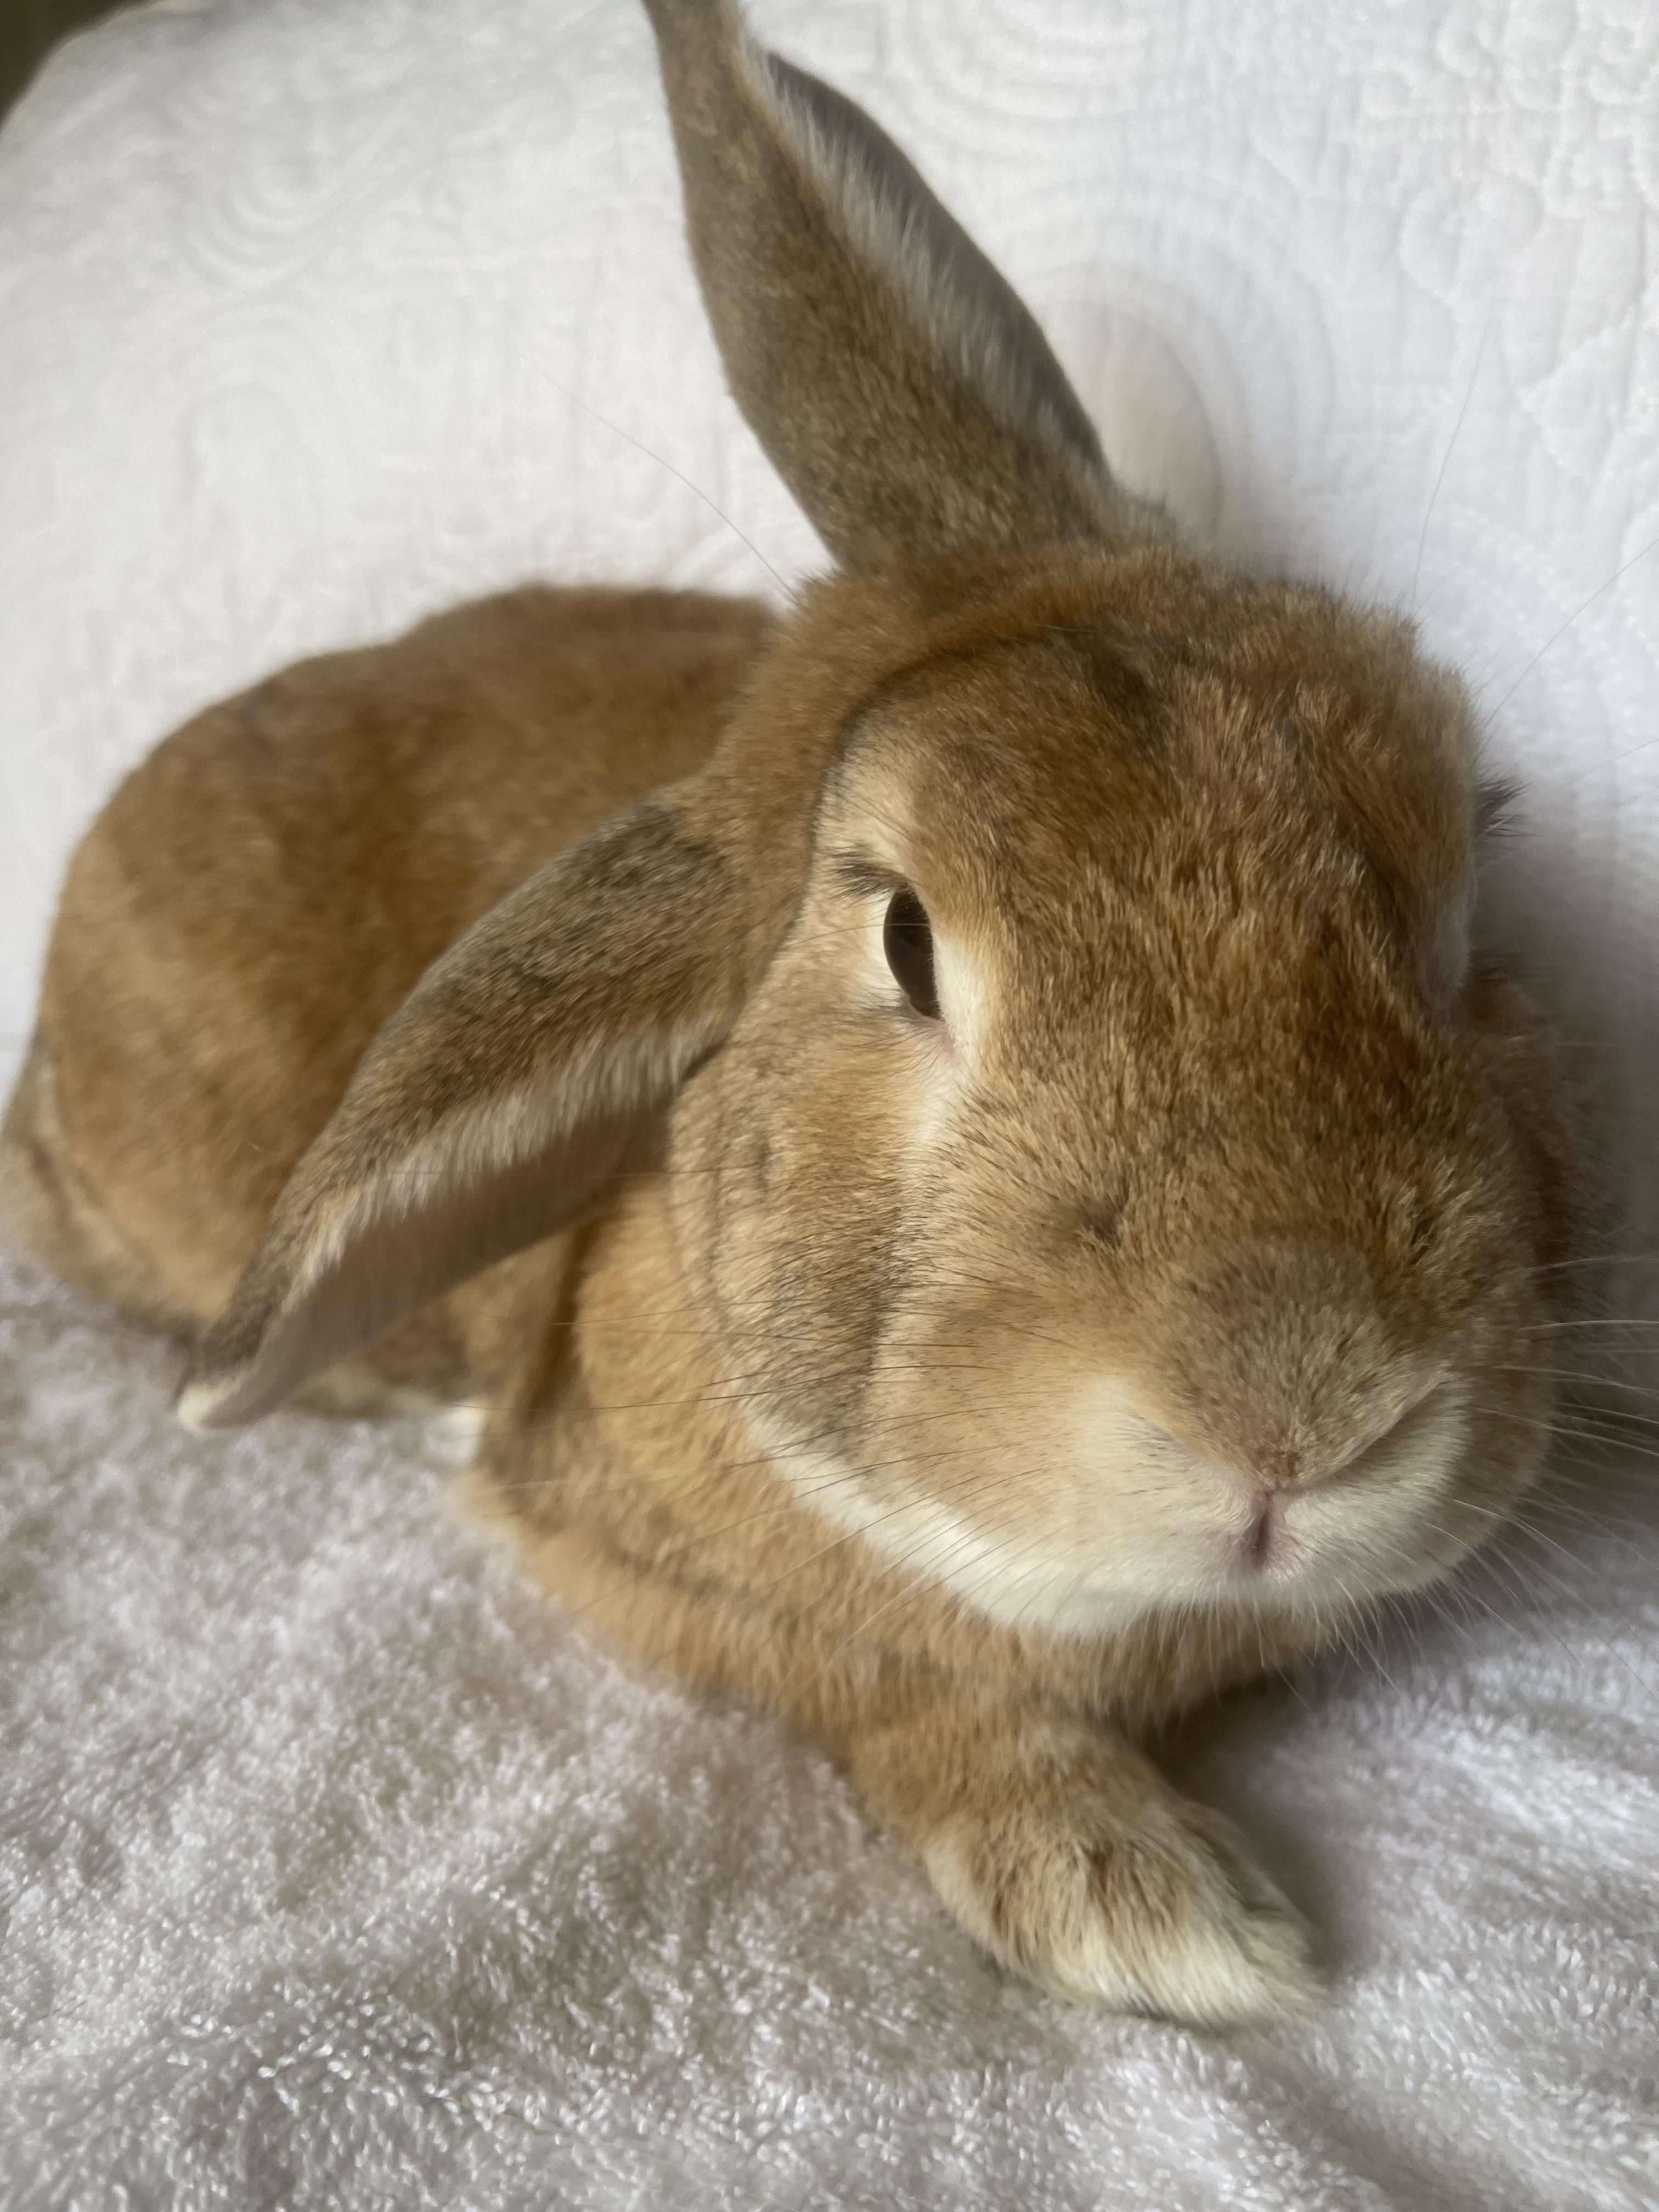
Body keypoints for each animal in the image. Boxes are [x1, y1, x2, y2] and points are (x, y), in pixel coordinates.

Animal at [0, 0, 1583, 2025]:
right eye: (905, 945)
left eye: (1466, 864)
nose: (1298, 1410)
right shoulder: (628, 1552)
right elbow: (882, 1679)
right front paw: (1151, 1906)